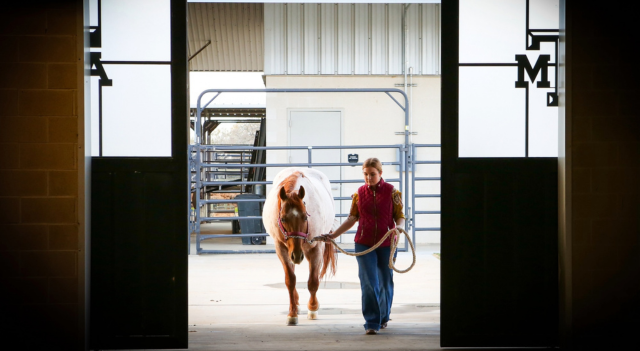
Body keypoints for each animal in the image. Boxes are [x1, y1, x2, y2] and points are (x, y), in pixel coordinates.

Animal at [262, 169, 338, 326]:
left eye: (305, 217)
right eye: (283, 218)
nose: (297, 255)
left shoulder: (316, 248)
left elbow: (313, 282)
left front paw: (313, 309)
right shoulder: (282, 250)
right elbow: (290, 280)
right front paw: (292, 314)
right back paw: (296, 305)